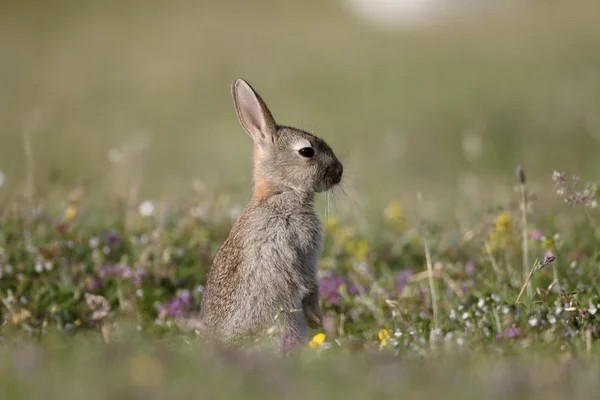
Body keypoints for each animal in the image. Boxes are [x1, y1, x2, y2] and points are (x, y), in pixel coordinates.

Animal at [199, 78, 344, 350]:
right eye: (307, 152)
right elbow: (308, 283)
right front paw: (317, 320)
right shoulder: (301, 250)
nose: (339, 172)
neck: (280, 192)